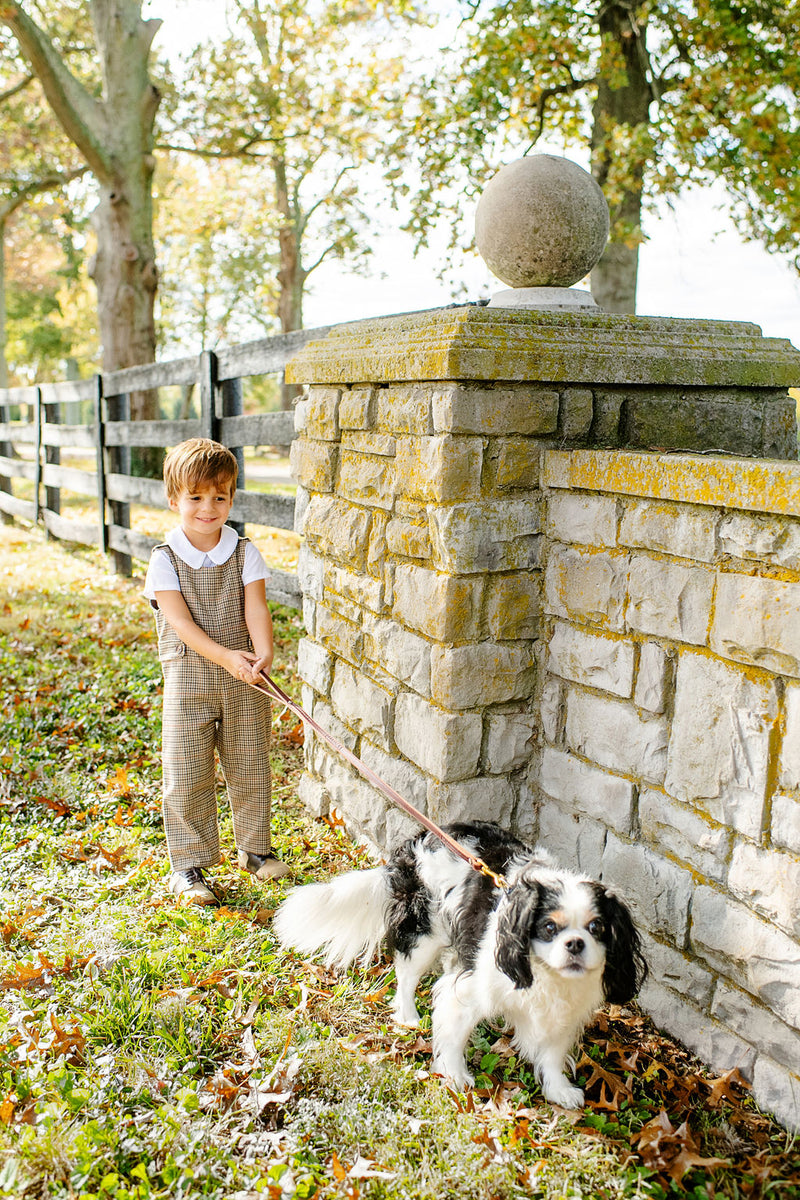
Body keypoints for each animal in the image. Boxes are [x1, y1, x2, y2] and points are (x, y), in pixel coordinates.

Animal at [272, 820, 647, 1108]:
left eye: (597, 928)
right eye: (549, 928)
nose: (575, 944)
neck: (545, 975)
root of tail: (419, 838)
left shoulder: (564, 1012)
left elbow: (553, 1053)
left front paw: (558, 1090)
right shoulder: (470, 989)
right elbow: (453, 1034)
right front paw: (454, 1076)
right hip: (425, 930)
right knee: (406, 974)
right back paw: (408, 1016)